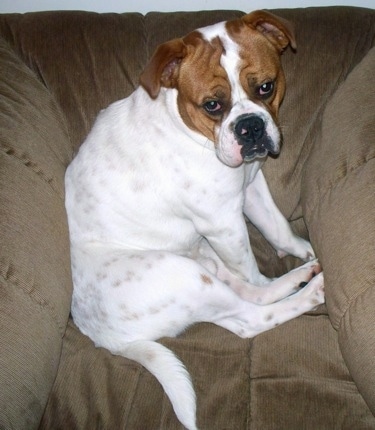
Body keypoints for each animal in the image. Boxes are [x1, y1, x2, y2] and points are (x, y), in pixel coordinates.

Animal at [65, 10, 326, 430]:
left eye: (266, 87)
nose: (250, 126)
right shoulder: (224, 222)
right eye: (212, 105)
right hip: (184, 275)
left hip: (201, 264)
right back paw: (311, 289)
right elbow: (252, 269)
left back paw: (303, 273)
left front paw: (302, 249)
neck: (186, 125)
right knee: (254, 313)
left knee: (243, 296)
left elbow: (278, 228)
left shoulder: (251, 187)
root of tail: (103, 338)